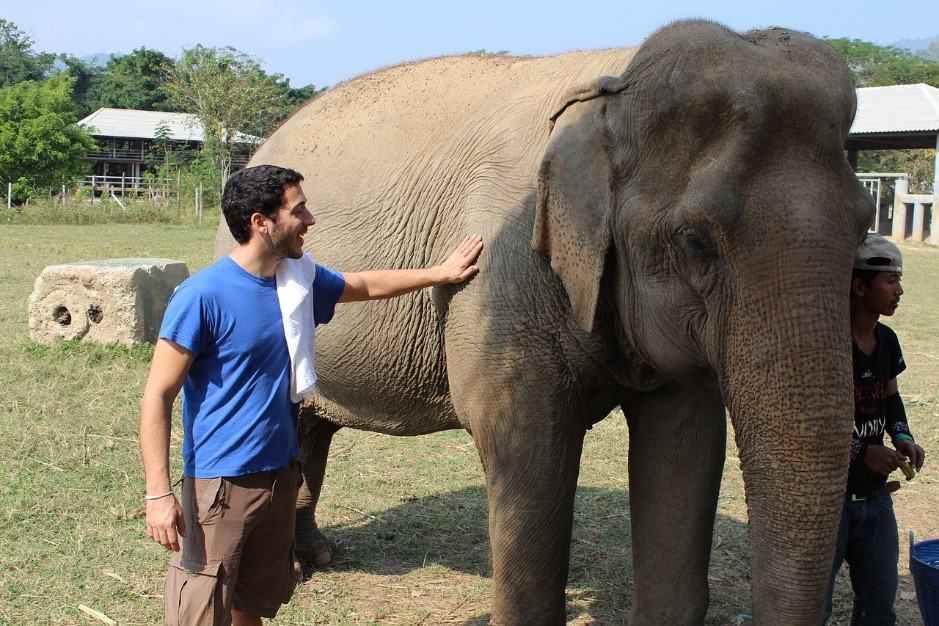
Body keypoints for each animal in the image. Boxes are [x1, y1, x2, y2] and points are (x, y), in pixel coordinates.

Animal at [213, 19, 872, 624]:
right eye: (695, 241)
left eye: (865, 222)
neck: (616, 80)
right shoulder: (502, 277)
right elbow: (528, 445)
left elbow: (686, 447)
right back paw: (298, 569)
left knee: (310, 427)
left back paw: (314, 558)